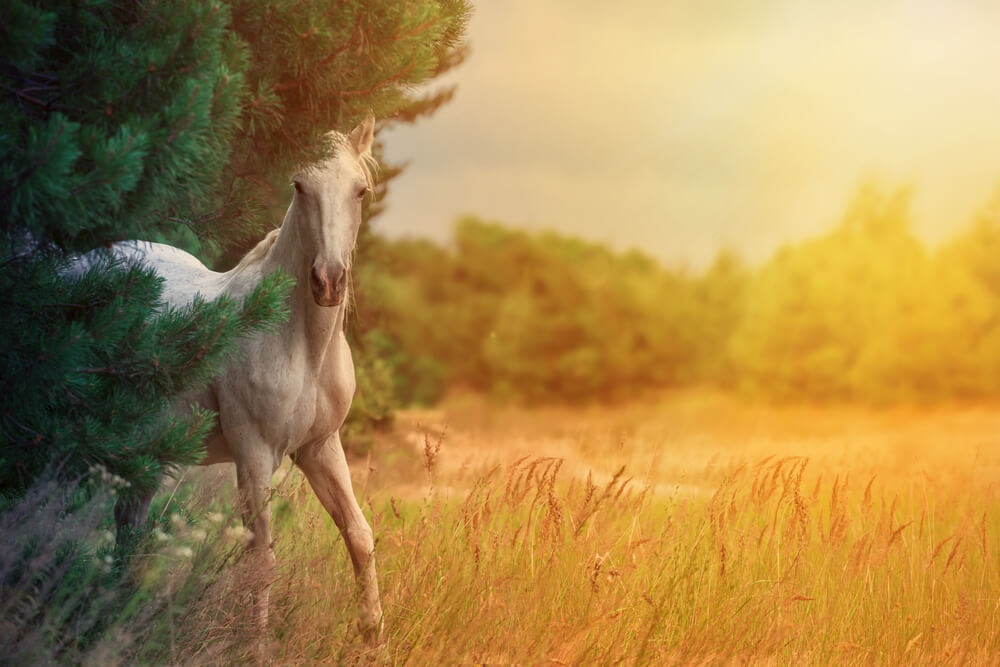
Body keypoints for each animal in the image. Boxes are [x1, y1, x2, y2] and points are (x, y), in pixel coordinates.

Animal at [71, 118, 383, 640]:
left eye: (360, 190)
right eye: (300, 186)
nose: (328, 282)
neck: (299, 343)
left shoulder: (320, 448)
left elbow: (359, 537)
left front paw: (374, 639)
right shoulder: (254, 455)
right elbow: (261, 562)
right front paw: (256, 647)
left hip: (145, 453)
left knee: (129, 532)